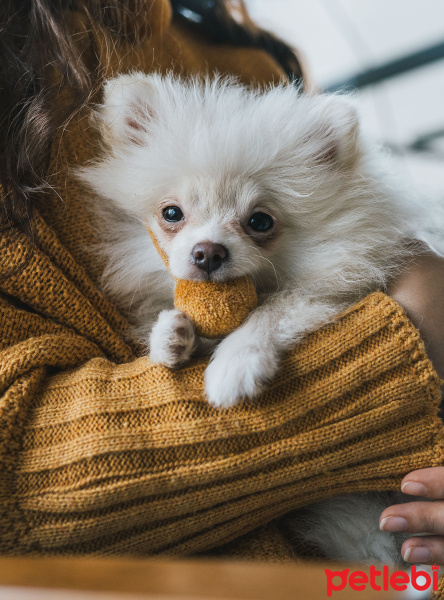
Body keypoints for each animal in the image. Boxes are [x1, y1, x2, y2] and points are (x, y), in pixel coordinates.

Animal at [78, 72, 442, 564]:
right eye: (172, 213)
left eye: (260, 221)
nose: (208, 253)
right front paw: (172, 337)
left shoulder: (337, 290)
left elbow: (273, 311)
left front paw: (234, 366)